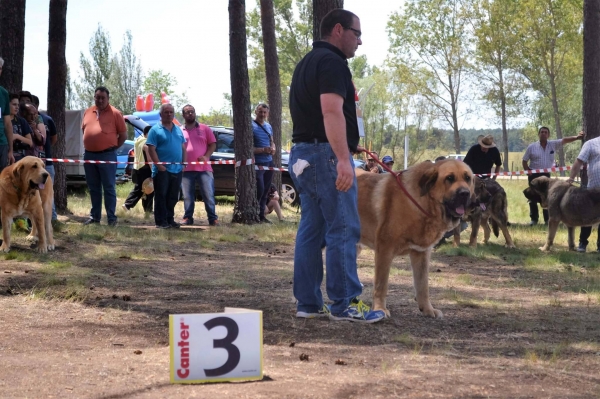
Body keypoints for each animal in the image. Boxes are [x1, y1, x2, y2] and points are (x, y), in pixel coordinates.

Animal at [356, 159, 474, 318]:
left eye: (467, 178)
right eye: (449, 178)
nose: (465, 193)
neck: (424, 203)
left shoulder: (421, 253)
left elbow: (423, 285)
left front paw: (428, 309)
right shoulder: (384, 250)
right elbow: (381, 284)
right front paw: (380, 309)